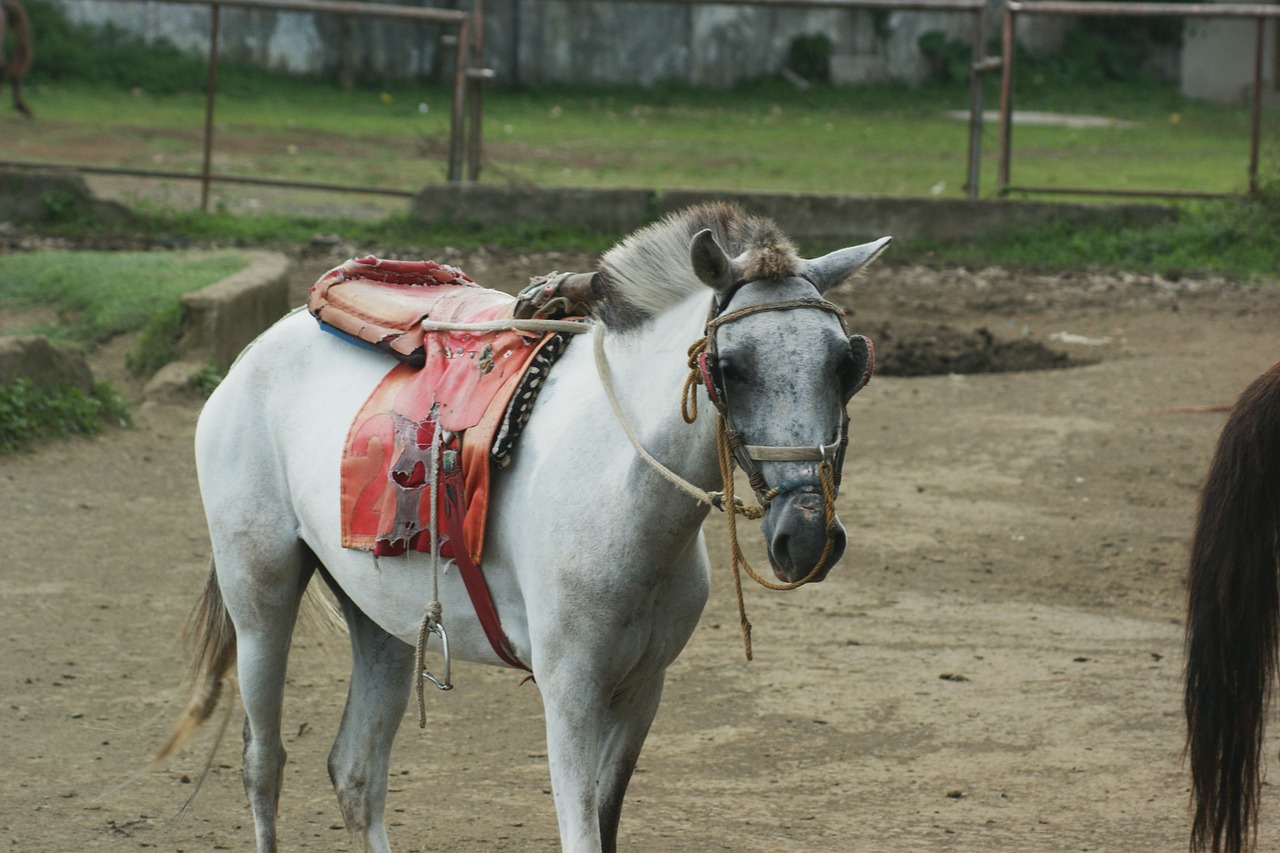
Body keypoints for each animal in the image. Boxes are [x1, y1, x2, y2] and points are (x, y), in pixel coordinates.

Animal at [160, 201, 890, 850]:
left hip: (382, 621)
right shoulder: (570, 694)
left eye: (847, 364)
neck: (620, 487)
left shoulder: (642, 691)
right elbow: (582, 835)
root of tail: (259, 347)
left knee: (356, 771)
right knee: (263, 763)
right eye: (730, 367)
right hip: (260, 597)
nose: (807, 534)